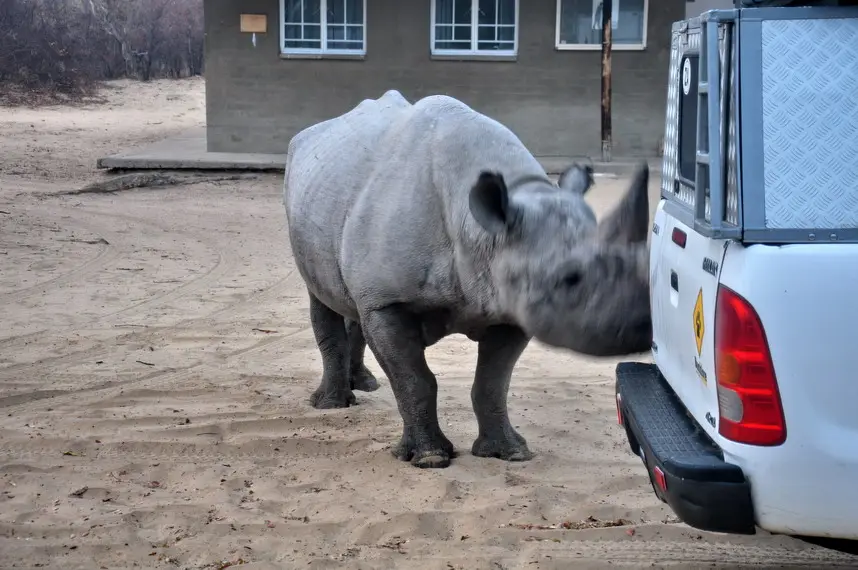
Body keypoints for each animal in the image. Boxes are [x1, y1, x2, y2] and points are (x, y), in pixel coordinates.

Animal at [283, 90, 651, 469]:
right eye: (568, 278)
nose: (641, 327)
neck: (482, 231)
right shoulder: (387, 301)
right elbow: (414, 379)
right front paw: (429, 459)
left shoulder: (509, 304)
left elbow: (492, 382)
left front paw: (510, 453)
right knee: (321, 296)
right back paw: (331, 404)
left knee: (353, 304)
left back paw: (365, 385)